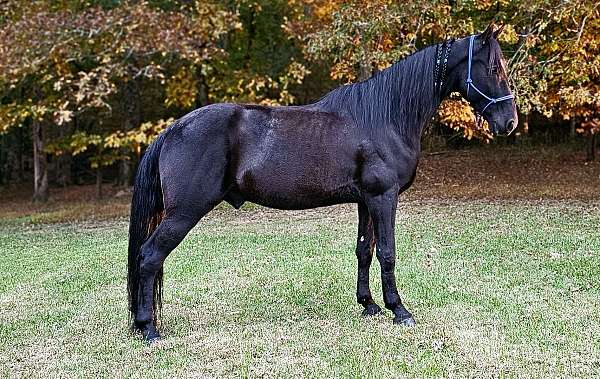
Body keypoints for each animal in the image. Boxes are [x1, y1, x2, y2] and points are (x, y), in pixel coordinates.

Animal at [129, 25, 516, 342]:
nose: (510, 122)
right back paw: (148, 328)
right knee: (149, 256)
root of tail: (172, 130)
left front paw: (369, 305)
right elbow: (387, 252)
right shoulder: (384, 197)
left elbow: (365, 250)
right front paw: (399, 310)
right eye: (493, 69)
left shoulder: (366, 200)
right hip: (183, 212)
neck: (385, 116)